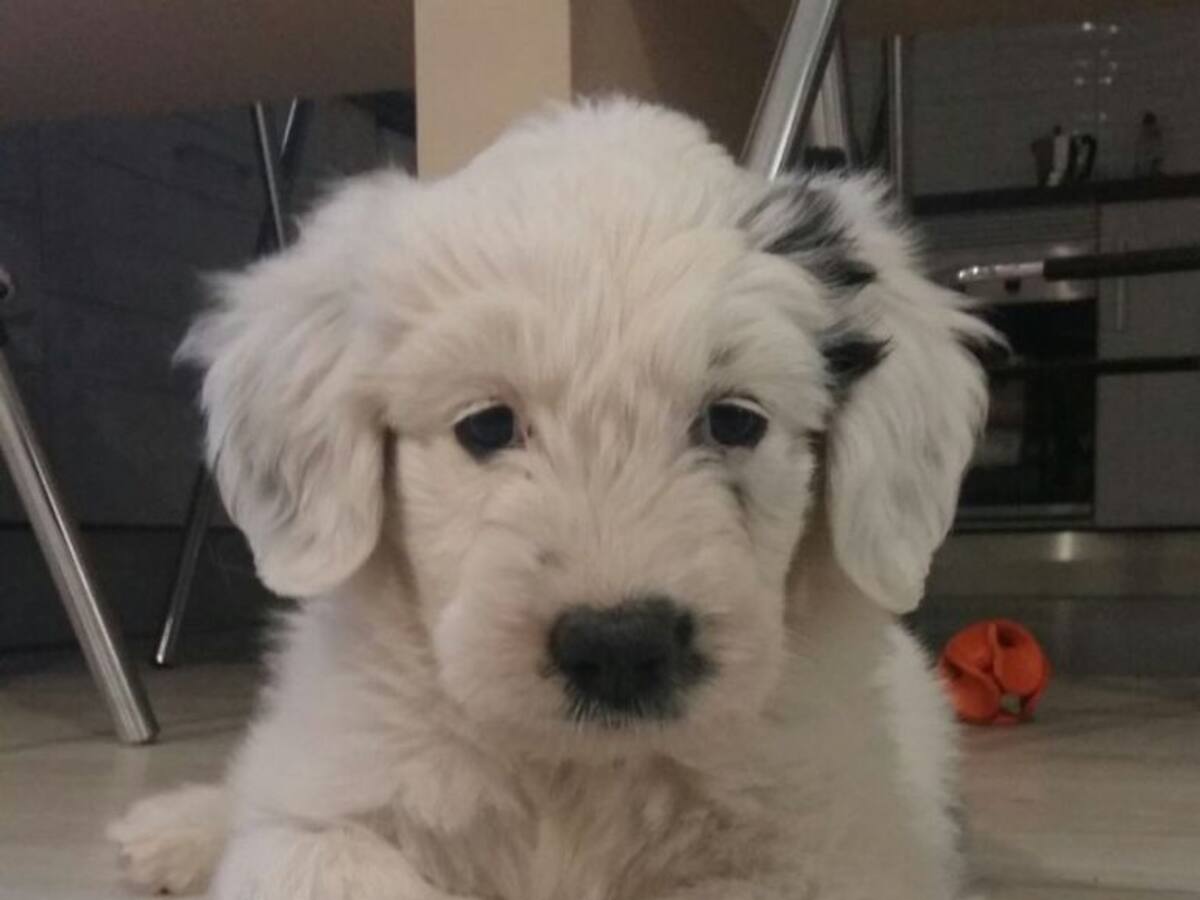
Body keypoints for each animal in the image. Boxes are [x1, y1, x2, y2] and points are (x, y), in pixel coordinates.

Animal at [108, 99, 993, 900]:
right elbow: (321, 849)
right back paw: (167, 831)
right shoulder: (322, 814)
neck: (574, 771)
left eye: (735, 420)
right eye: (487, 425)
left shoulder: (836, 853)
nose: (620, 646)